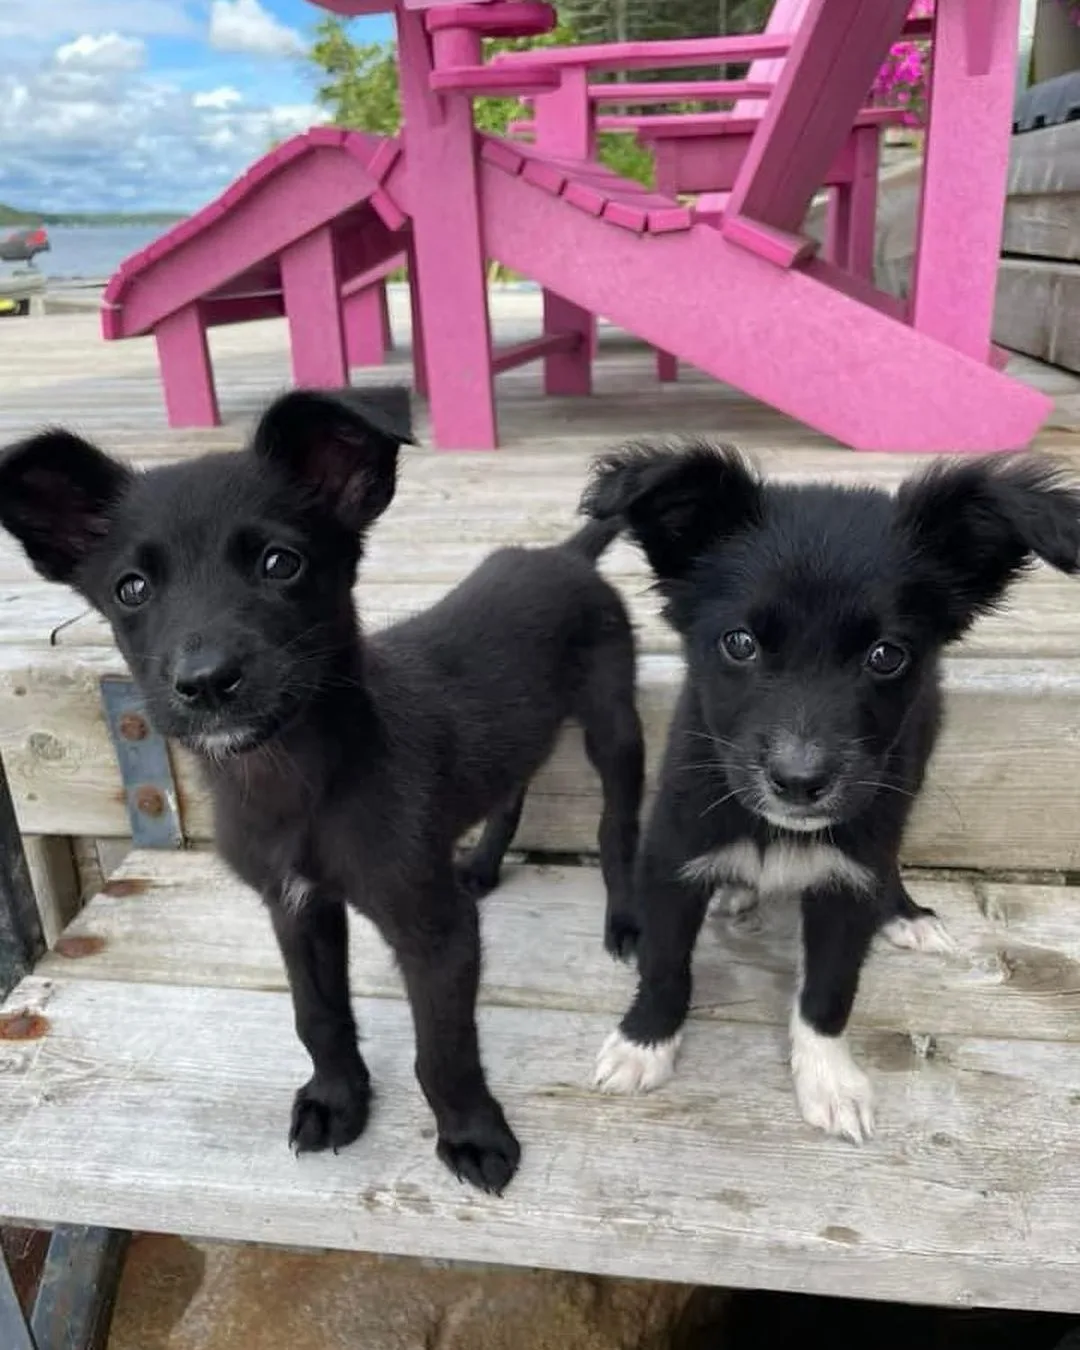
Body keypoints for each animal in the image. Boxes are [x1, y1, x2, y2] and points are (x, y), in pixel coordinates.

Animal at [0, 391, 642, 1193]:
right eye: (131, 589)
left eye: (281, 563)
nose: (206, 682)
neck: (297, 780)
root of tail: (565, 555)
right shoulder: (295, 906)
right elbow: (319, 1016)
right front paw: (337, 1101)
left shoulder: (436, 932)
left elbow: (444, 1048)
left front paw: (471, 1135)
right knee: (512, 788)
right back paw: (482, 864)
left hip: (613, 721)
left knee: (618, 821)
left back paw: (625, 921)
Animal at [585, 440, 1080, 1139]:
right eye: (740, 643)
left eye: (886, 655)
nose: (799, 782)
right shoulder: (672, 854)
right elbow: (664, 966)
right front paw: (642, 1045)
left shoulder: (848, 878)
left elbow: (828, 991)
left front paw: (829, 1080)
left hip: (903, 779)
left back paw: (904, 914)